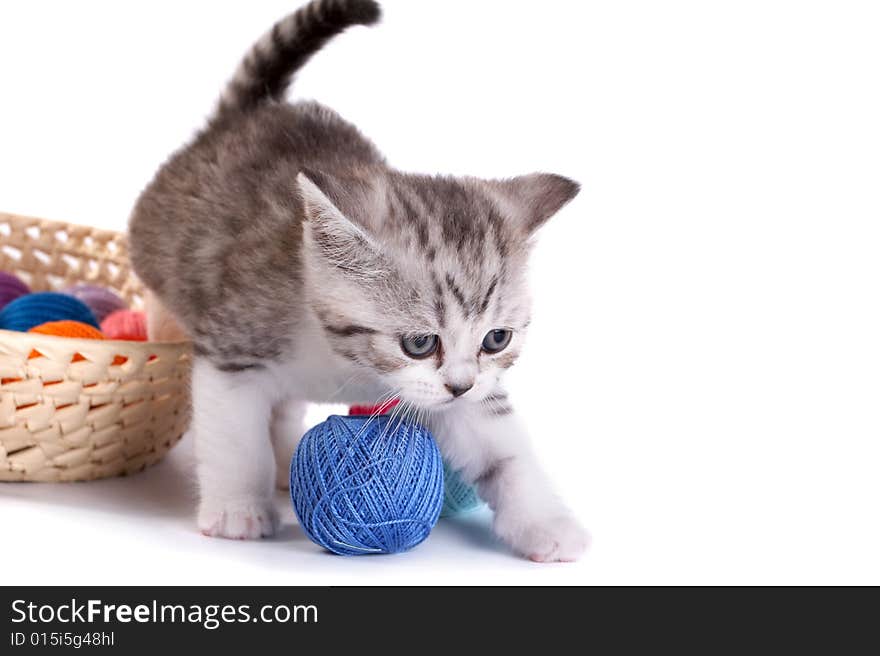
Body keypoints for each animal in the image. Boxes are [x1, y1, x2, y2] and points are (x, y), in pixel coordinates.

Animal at [131, 1, 588, 564]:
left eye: (496, 339)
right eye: (420, 343)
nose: (460, 385)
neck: (342, 361)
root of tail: (245, 116)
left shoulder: (465, 396)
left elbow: (502, 446)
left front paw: (548, 523)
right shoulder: (232, 348)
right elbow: (236, 437)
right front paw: (239, 510)